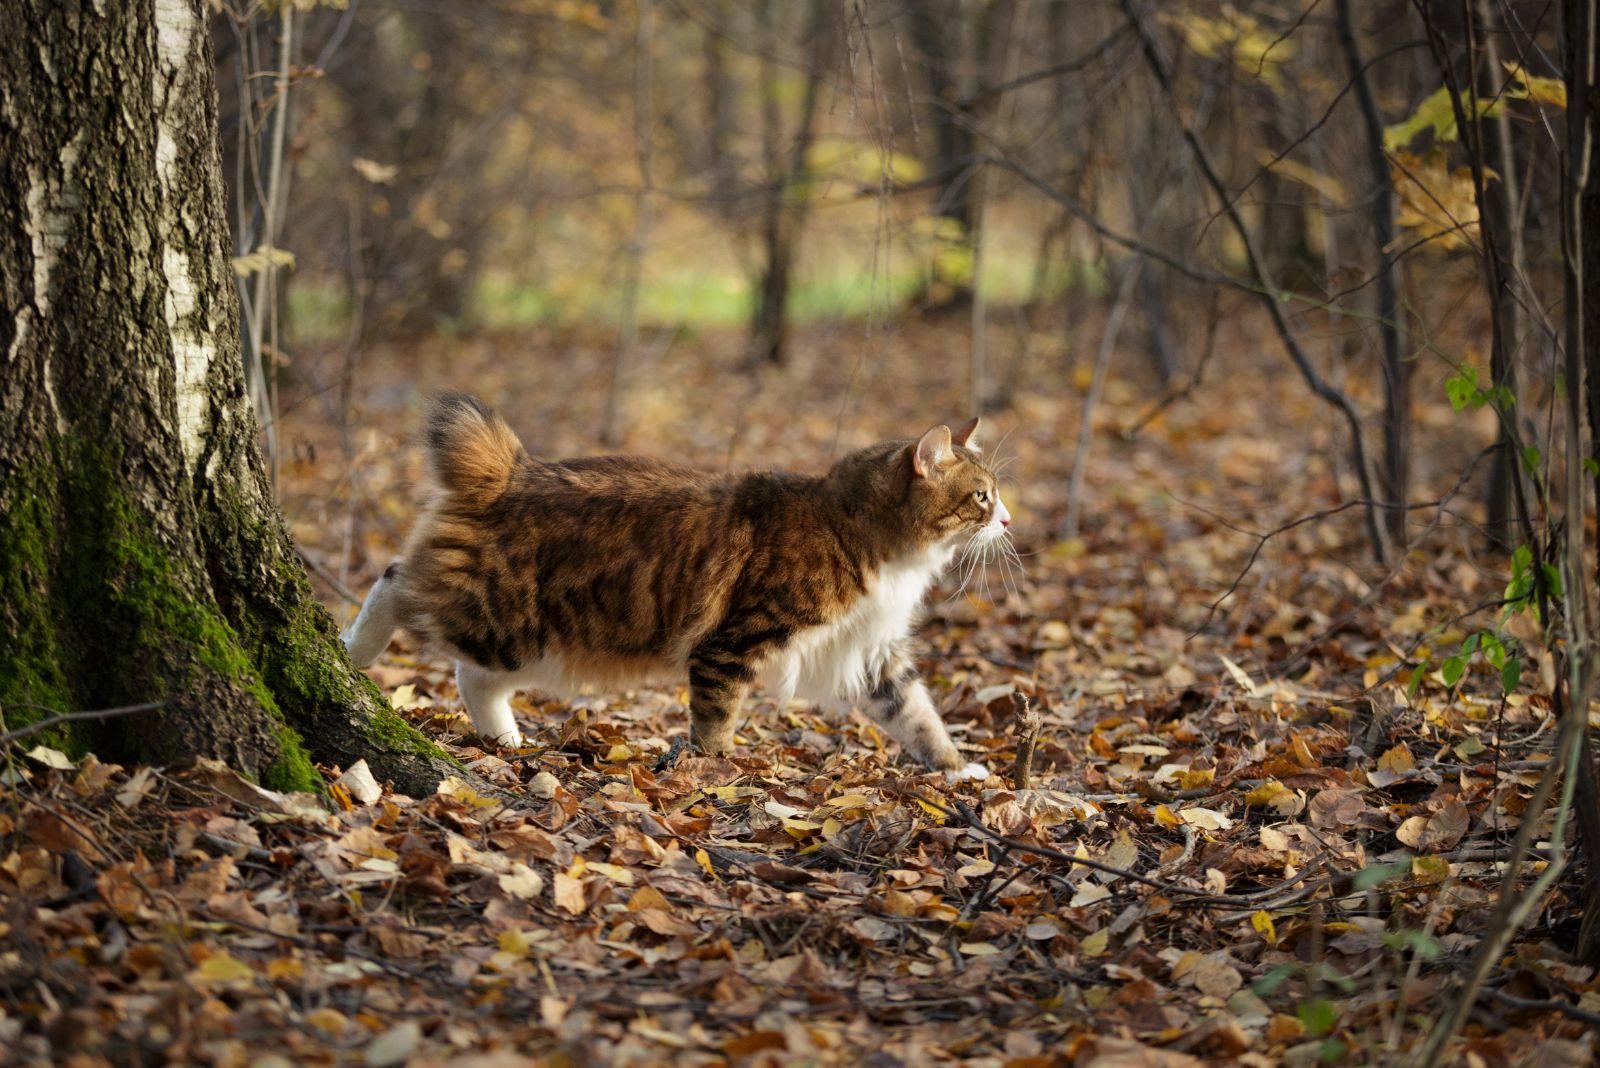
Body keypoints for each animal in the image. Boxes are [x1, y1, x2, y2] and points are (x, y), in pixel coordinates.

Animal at [344, 391, 1011, 777]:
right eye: (982, 496)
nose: (1008, 519)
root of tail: (511, 471)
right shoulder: (733, 643)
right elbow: (716, 721)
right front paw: (714, 773)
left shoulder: (874, 653)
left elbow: (920, 716)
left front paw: (959, 771)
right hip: (497, 616)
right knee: (394, 583)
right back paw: (351, 652)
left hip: (531, 643)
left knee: (473, 677)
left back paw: (507, 742)